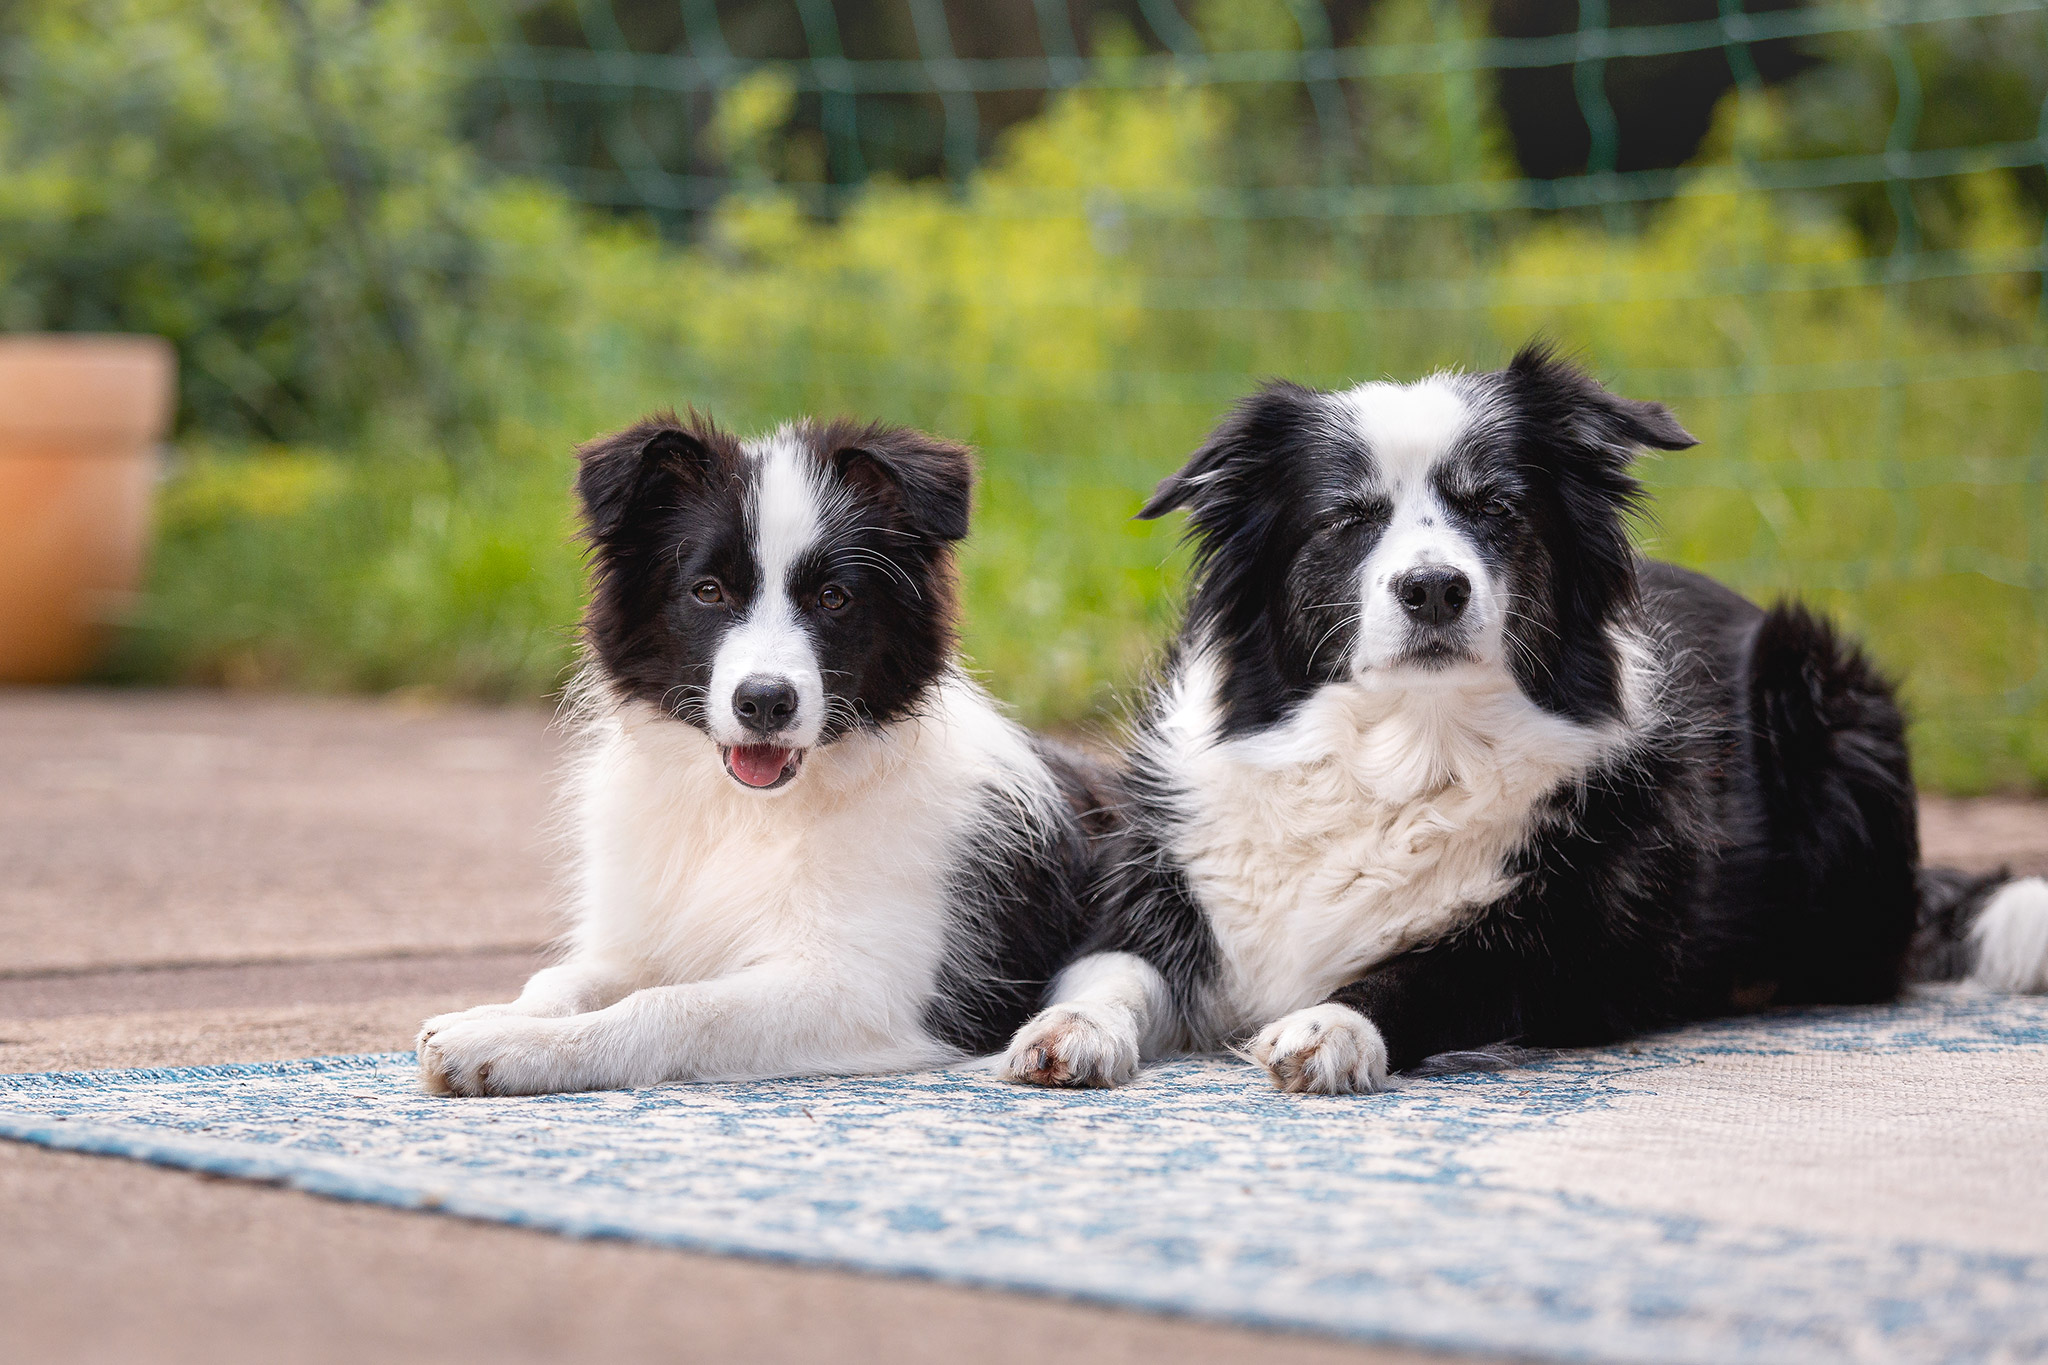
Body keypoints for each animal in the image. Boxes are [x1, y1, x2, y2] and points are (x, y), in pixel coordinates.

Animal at [413, 411, 1105, 1096]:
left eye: (833, 598)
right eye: (708, 590)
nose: (765, 702)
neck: (748, 812)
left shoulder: (866, 993)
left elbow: (671, 1006)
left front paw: (505, 1047)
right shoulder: (639, 938)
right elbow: (563, 978)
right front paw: (493, 1017)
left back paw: (1073, 1037)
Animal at [1003, 347, 2048, 1096]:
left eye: (1496, 508)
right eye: (1349, 518)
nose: (1433, 586)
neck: (1400, 753)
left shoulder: (1555, 951)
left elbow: (1419, 972)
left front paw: (1333, 1023)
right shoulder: (1163, 898)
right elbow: (1111, 970)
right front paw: (1070, 1030)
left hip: (1825, 695)